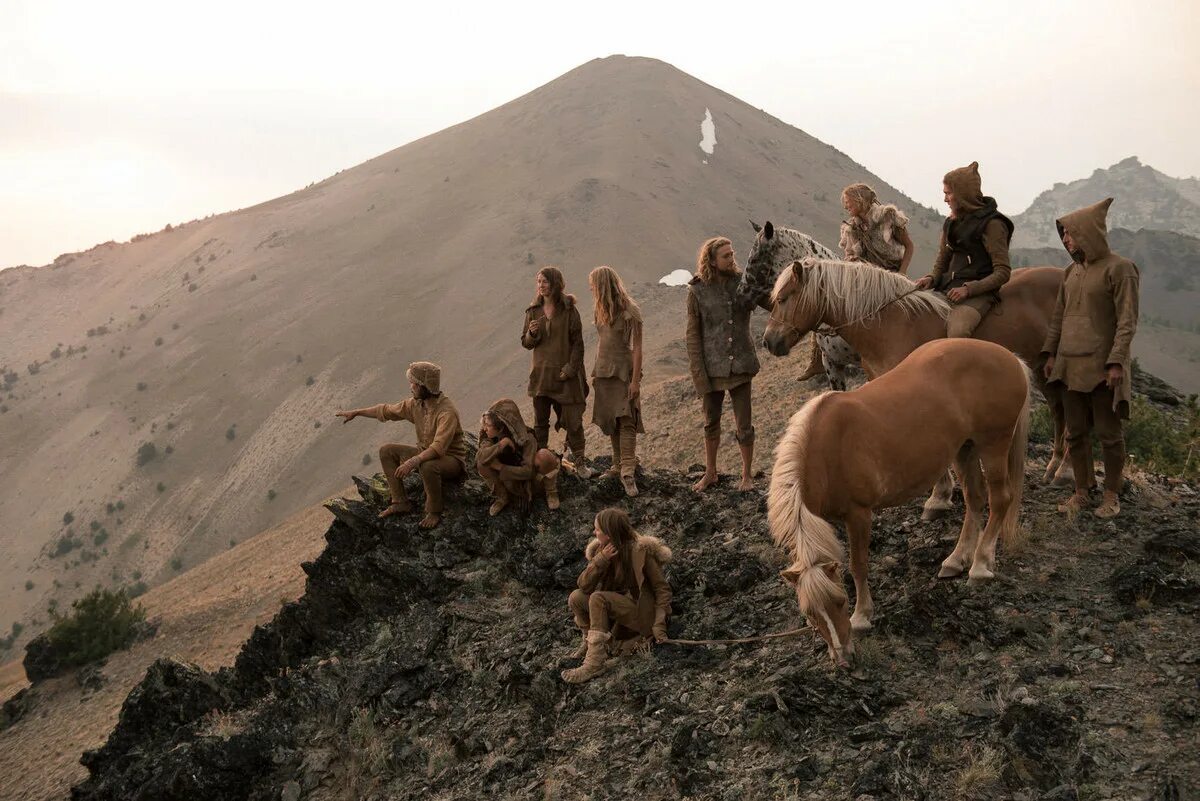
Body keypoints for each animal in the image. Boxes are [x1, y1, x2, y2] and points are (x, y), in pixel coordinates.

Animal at [744, 221, 1075, 515]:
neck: (891, 320)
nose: (769, 340)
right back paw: (1054, 468)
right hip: (1041, 370)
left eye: (783, 297)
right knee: (1059, 410)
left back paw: (1065, 471)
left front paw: (938, 497)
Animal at [768, 335, 1032, 666]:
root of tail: (1011, 358)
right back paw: (956, 560)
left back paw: (981, 565)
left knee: (999, 500)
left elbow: (858, 565)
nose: (844, 658)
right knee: (975, 499)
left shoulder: (858, 514)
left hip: (993, 445)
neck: (824, 453)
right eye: (809, 614)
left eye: (840, 602)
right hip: (965, 449)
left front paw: (862, 617)